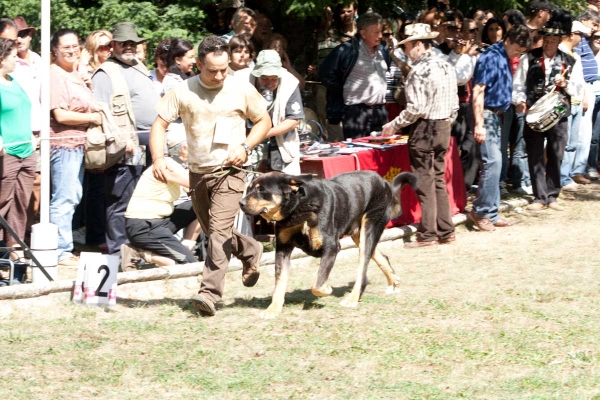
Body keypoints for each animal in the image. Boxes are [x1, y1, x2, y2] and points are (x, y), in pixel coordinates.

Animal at [239, 169, 418, 318]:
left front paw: (327, 289)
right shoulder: (282, 249)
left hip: (370, 227)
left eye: (261, 190)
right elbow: (279, 283)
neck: (297, 207)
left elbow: (317, 283)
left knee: (363, 270)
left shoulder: (332, 247)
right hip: (359, 235)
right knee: (382, 257)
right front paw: (273, 309)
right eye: (249, 189)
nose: (241, 203)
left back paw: (352, 299)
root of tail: (384, 182)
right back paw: (393, 282)